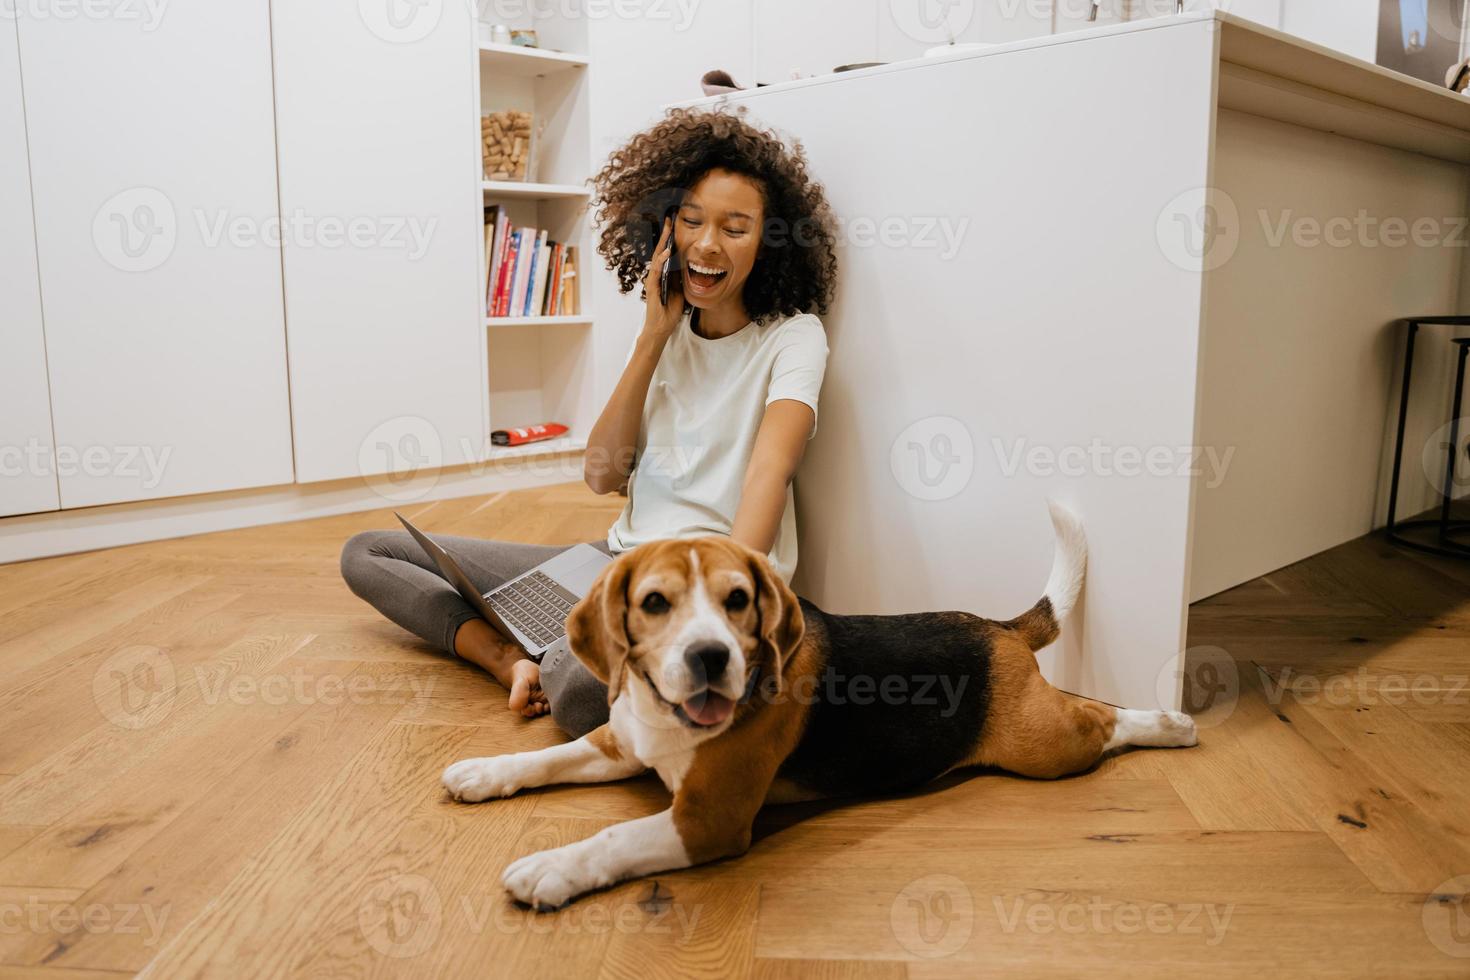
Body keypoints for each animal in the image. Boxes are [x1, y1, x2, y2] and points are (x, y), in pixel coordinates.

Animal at [443, 505, 1193, 910]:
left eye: (738, 599)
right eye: (655, 602)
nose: (710, 658)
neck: (667, 715)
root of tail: (999, 628)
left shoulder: (707, 820)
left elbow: (613, 838)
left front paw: (551, 868)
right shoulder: (618, 745)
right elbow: (547, 757)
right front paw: (483, 770)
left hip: (1042, 747)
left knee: (1101, 719)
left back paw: (1172, 724)